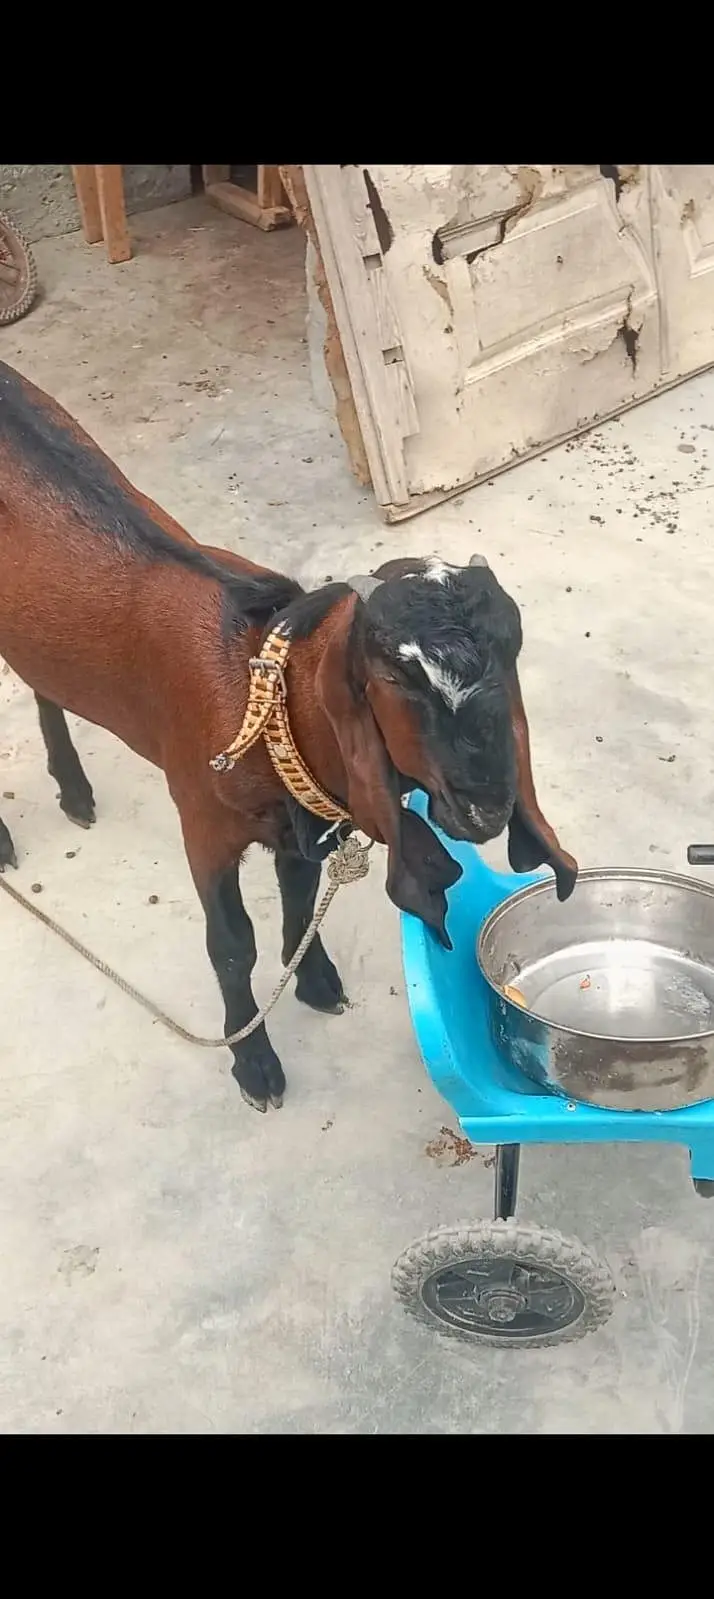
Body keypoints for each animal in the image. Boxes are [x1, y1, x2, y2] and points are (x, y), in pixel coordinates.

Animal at [0, 360, 577, 1112]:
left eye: (511, 652)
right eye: (393, 674)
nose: (485, 808)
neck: (259, 695)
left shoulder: (302, 819)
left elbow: (300, 899)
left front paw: (315, 979)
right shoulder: (204, 823)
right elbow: (231, 944)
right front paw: (253, 1059)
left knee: (43, 680)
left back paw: (73, 788)